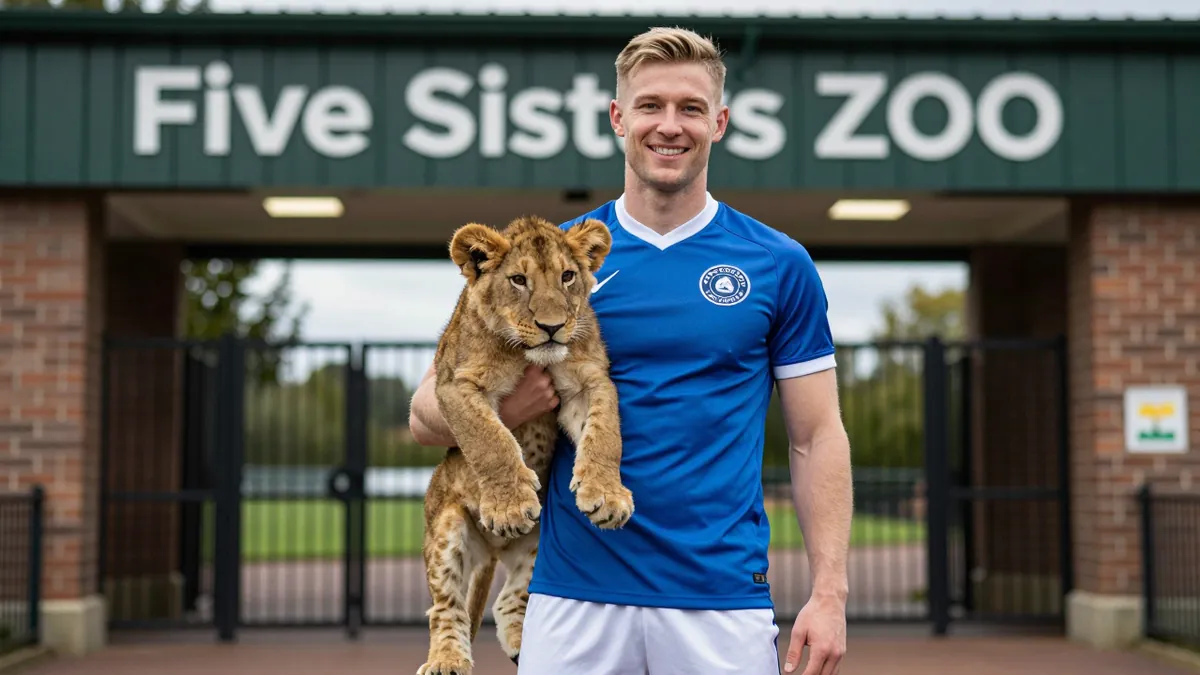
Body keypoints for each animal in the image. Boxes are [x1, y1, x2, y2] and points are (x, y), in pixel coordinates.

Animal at [416, 214, 635, 675]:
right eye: (518, 280)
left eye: (567, 276)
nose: (552, 327)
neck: (527, 355)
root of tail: (494, 551)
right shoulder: (455, 385)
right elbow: (490, 440)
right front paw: (510, 506)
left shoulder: (590, 381)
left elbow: (605, 434)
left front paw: (607, 496)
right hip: (445, 530)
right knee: (446, 607)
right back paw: (446, 658)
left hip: (539, 545)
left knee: (509, 599)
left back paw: (523, 644)